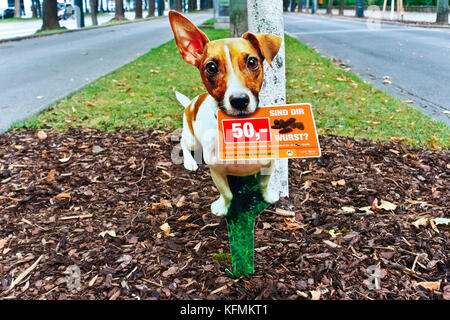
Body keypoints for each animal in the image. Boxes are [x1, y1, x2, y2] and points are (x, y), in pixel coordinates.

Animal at [169, 10, 282, 215]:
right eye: (211, 67)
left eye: (252, 62)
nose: (239, 100)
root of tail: (191, 103)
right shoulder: (217, 171)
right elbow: (227, 194)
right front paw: (222, 208)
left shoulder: (268, 163)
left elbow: (263, 184)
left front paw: (268, 196)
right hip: (192, 139)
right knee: (183, 144)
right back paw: (190, 162)